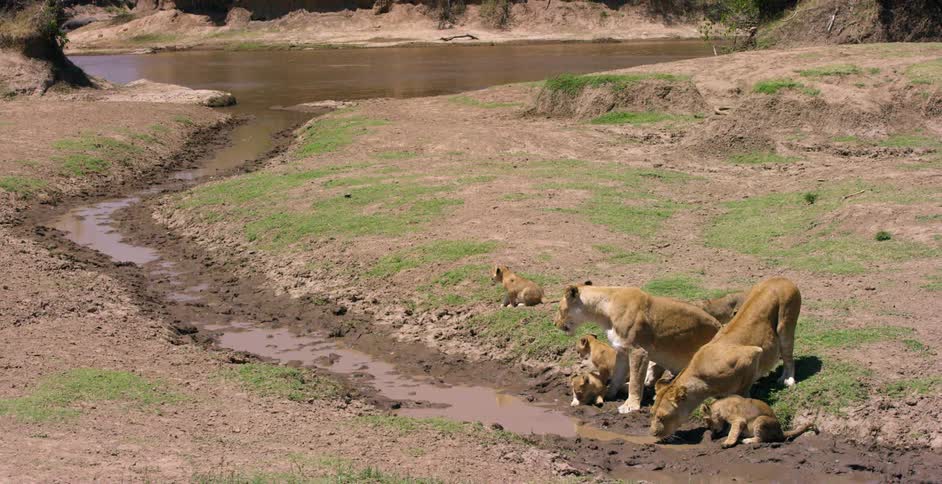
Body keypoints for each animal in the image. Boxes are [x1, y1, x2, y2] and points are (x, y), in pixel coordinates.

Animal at [555, 283, 721, 414]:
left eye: (560, 309)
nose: (555, 323)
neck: (603, 312)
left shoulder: (638, 351)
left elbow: (635, 381)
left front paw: (630, 406)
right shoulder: (621, 351)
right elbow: (617, 376)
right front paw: (609, 393)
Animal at [650, 277, 801, 440]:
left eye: (662, 417)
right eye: (651, 413)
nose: (653, 433)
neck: (701, 381)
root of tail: (780, 278)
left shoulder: (751, 355)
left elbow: (743, 392)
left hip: (785, 323)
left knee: (788, 357)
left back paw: (788, 379)